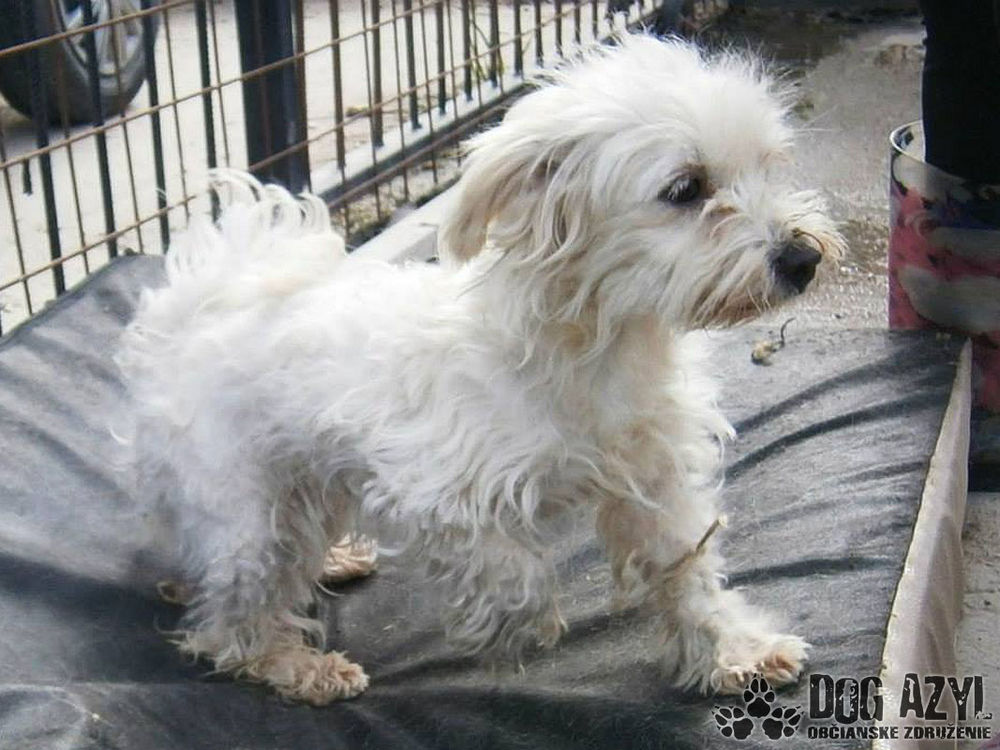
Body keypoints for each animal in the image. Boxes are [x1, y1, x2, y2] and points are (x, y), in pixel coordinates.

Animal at [116, 34, 844, 705]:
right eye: (686, 188)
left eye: (768, 166)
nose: (802, 258)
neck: (592, 350)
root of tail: (195, 305)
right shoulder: (436, 491)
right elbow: (513, 574)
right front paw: (514, 629)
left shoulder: (655, 472)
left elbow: (686, 565)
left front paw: (732, 650)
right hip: (248, 514)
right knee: (231, 623)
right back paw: (296, 665)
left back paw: (334, 558)